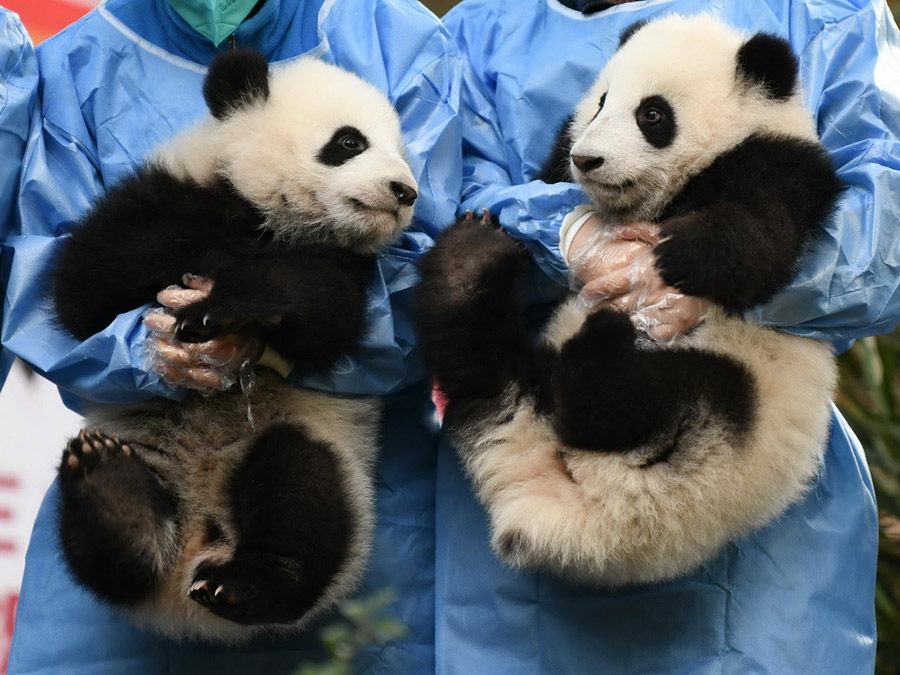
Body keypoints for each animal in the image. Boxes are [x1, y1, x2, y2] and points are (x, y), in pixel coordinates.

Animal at [50, 48, 418, 642]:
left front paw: (225, 308)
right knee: (107, 564)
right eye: (349, 142)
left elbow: (326, 313)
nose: (406, 193)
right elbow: (85, 289)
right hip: (144, 447)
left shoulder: (349, 272)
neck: (266, 212)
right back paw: (114, 500)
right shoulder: (164, 191)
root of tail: (190, 562)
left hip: (306, 440)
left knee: (301, 492)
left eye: (402, 152)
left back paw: (247, 584)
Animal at [415, 14, 843, 587]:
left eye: (652, 114)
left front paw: (685, 254)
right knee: (480, 361)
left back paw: (600, 349)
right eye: (600, 102)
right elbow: (541, 185)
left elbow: (764, 230)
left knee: (638, 401)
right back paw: (468, 263)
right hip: (526, 394)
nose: (587, 159)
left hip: (723, 427)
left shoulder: (783, 163)